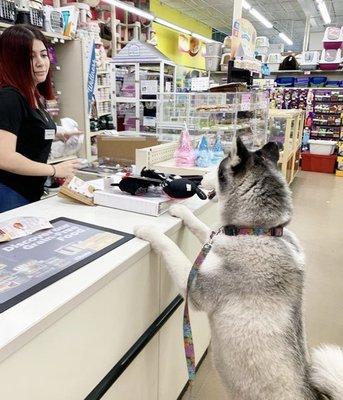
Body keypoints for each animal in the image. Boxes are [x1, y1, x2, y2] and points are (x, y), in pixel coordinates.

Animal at [134, 138, 343, 400]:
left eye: (217, 168)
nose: (199, 179)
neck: (258, 231)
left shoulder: (195, 288)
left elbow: (169, 246)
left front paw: (148, 230)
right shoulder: (216, 239)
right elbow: (201, 226)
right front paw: (181, 211)